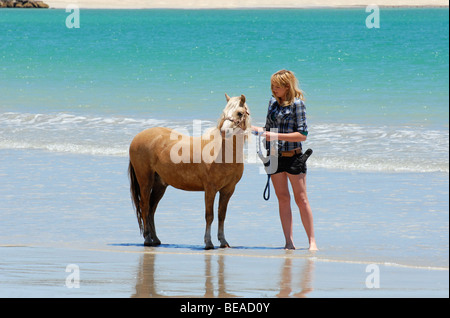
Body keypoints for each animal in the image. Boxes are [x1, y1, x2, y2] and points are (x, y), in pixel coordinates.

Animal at [128, 93, 251, 250]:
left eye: (240, 113)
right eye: (224, 112)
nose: (224, 132)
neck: (224, 152)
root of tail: (137, 137)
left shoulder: (228, 190)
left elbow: (221, 215)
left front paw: (223, 241)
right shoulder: (210, 189)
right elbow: (209, 215)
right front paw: (208, 243)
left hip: (159, 185)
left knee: (151, 209)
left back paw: (155, 239)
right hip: (145, 181)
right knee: (144, 206)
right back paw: (148, 239)